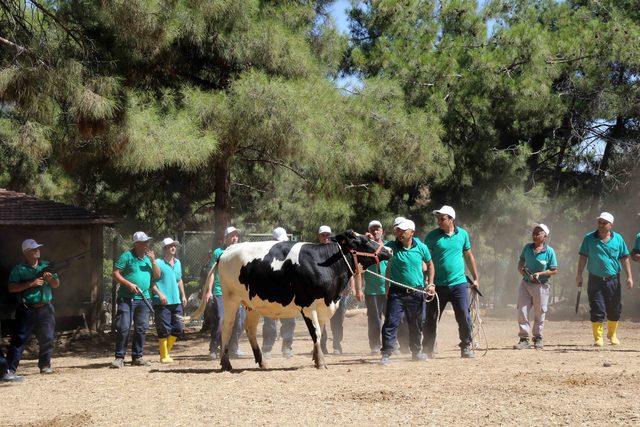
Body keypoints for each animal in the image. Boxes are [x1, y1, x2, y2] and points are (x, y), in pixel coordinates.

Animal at [218, 231, 392, 372]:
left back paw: (262, 362)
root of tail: (228, 250)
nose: (389, 250)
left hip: (253, 305)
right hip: (231, 299)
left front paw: (316, 358)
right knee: (227, 326)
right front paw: (321, 362)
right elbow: (316, 333)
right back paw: (226, 363)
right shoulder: (308, 306)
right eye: (366, 241)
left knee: (251, 329)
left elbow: (320, 332)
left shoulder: (323, 307)